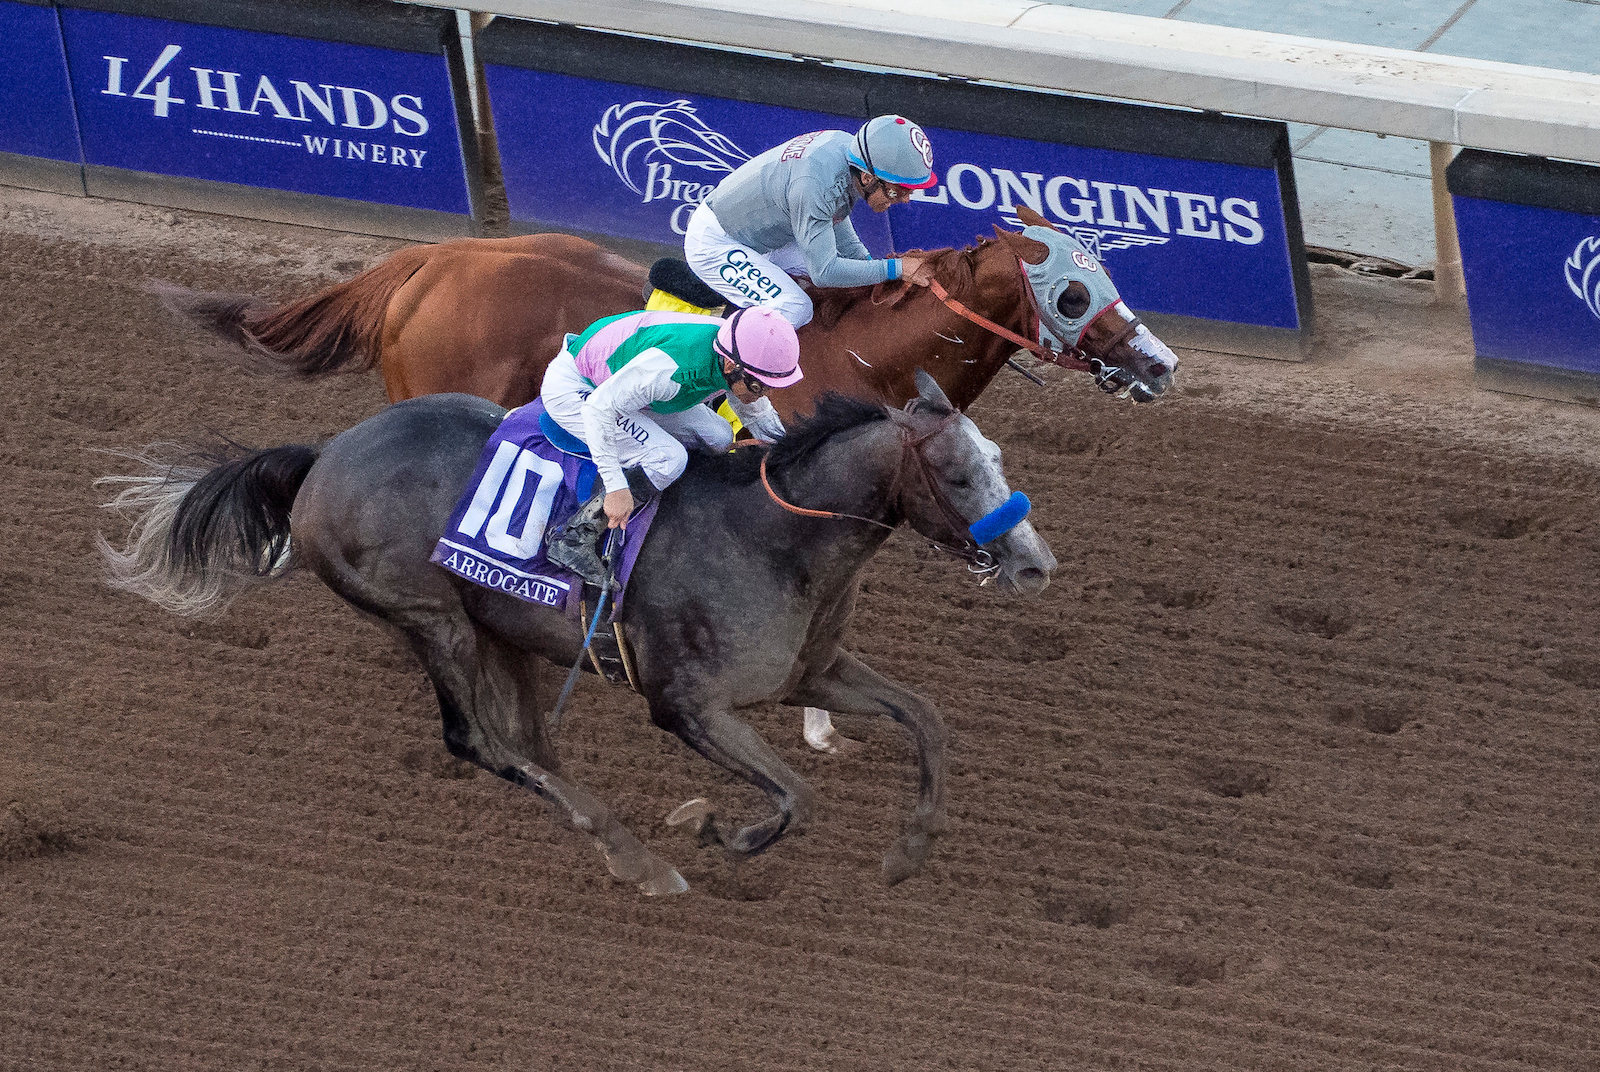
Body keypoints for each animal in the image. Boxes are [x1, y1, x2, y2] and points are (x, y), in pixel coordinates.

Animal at [96, 374, 1049, 896]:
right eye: (957, 472)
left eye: (999, 457)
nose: (1034, 563)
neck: (771, 540)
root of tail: (322, 456)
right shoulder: (687, 706)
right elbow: (796, 798)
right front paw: (715, 830)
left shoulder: (810, 673)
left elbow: (926, 718)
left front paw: (910, 852)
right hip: (432, 618)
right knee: (478, 741)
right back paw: (640, 856)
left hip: (502, 629)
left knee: (528, 742)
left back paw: (618, 848)